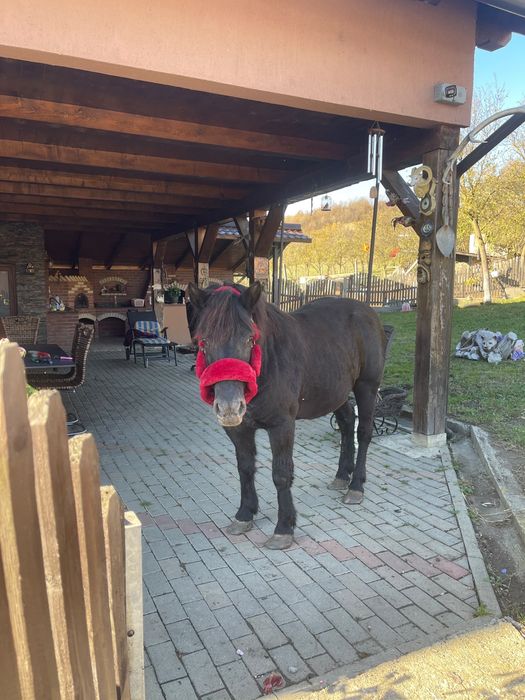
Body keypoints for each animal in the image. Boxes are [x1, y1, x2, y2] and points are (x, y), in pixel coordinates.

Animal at [188, 281, 386, 550]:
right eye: (203, 341)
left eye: (249, 339)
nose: (229, 407)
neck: (269, 362)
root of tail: (368, 312)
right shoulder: (238, 429)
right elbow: (245, 468)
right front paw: (245, 514)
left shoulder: (281, 426)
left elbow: (281, 474)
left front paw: (284, 528)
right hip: (336, 392)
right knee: (346, 423)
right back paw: (341, 476)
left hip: (366, 387)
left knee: (364, 432)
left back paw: (356, 486)